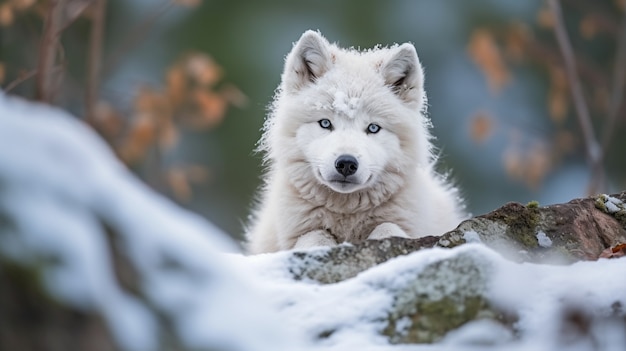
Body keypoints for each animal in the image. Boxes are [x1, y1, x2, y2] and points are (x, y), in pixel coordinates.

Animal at [246, 30, 466, 254]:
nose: (346, 163)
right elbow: (313, 236)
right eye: (325, 123)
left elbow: (388, 228)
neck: (347, 215)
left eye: (373, 128)